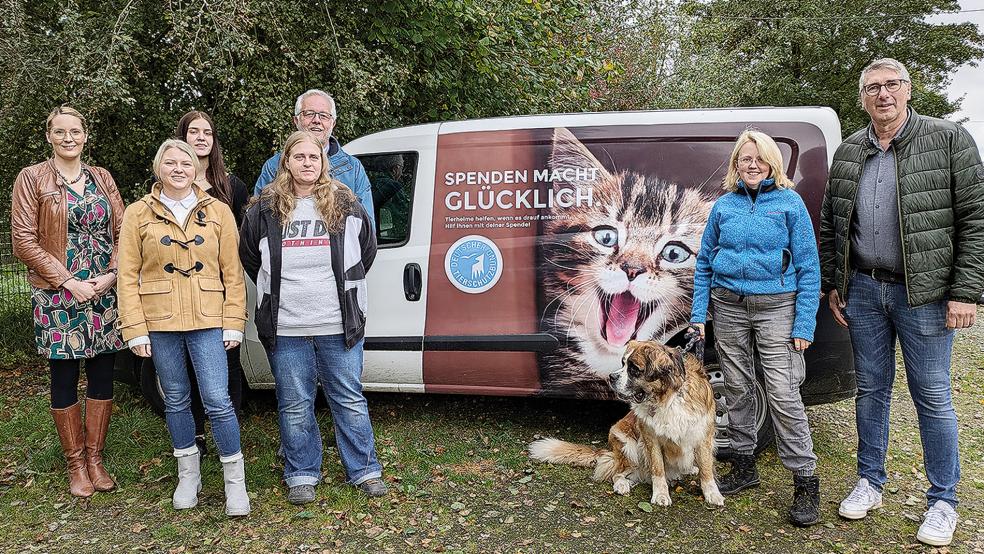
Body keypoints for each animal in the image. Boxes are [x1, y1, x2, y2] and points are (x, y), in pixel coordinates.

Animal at [532, 336, 724, 504]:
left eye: (634, 369)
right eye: (622, 363)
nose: (611, 377)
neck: (668, 397)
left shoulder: (702, 435)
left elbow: (706, 468)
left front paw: (712, 493)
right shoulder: (651, 438)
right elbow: (657, 468)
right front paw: (661, 495)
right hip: (626, 443)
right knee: (617, 473)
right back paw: (622, 485)